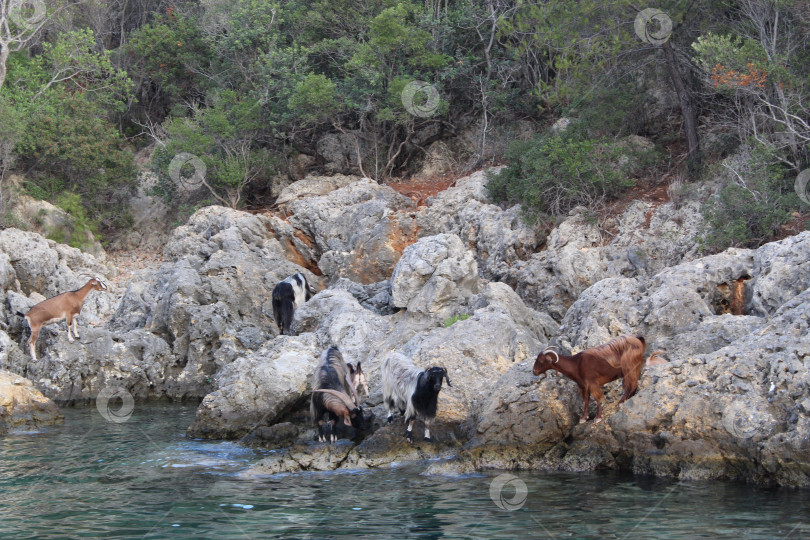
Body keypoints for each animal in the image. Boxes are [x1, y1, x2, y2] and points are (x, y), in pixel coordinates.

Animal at [532, 336, 660, 424]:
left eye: (541, 360)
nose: (534, 371)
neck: (576, 364)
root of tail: (639, 340)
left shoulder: (593, 383)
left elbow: (597, 398)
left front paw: (598, 417)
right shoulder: (584, 386)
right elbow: (587, 400)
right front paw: (584, 418)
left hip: (629, 368)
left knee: (631, 384)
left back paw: (621, 401)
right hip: (635, 368)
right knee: (634, 384)